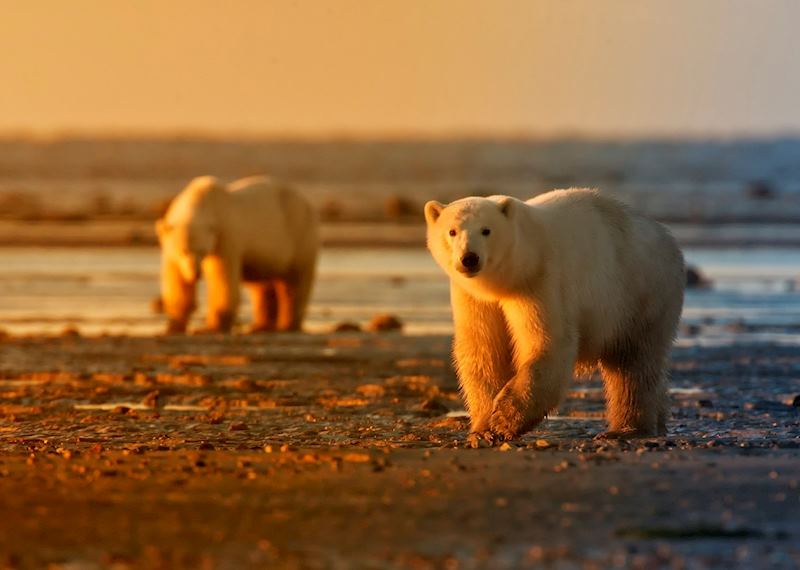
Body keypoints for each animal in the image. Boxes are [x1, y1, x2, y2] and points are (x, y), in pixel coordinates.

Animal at [156, 174, 318, 332]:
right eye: (184, 250)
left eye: (203, 250)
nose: (195, 274)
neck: (201, 201)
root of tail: (308, 203)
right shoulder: (169, 246)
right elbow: (177, 280)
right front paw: (173, 326)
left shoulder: (224, 236)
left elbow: (222, 278)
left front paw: (210, 328)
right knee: (263, 284)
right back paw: (260, 326)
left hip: (299, 233)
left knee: (295, 282)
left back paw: (287, 325)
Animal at [424, 187, 688, 444]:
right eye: (452, 231)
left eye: (486, 230)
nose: (469, 258)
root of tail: (670, 241)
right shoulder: (474, 299)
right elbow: (483, 352)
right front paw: (483, 430)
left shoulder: (541, 280)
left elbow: (548, 343)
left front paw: (504, 419)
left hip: (640, 292)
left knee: (634, 363)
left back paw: (627, 429)